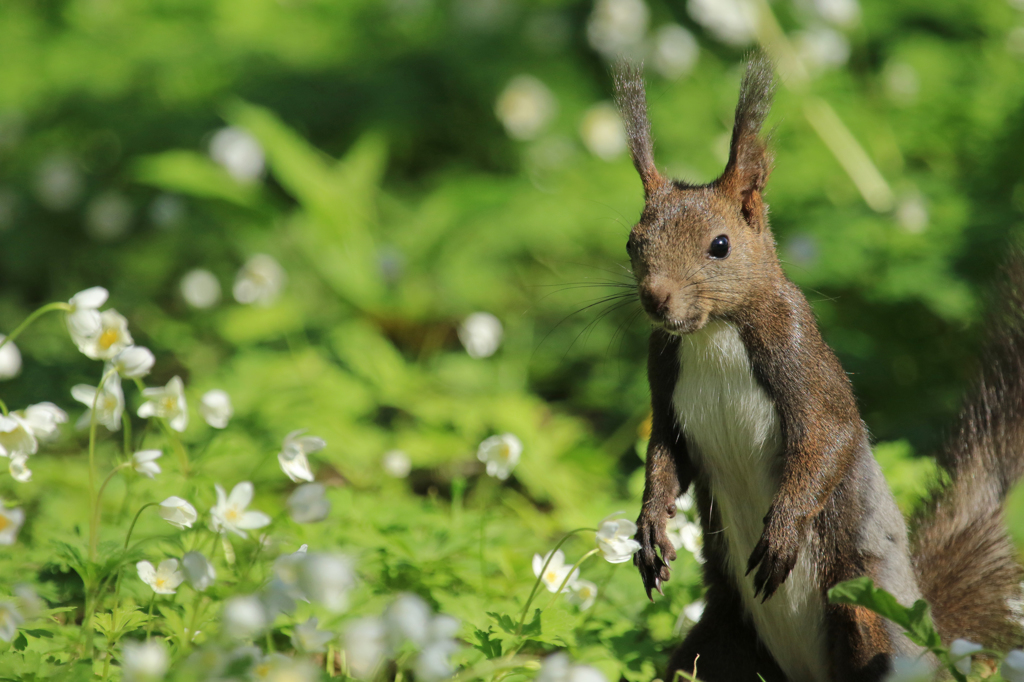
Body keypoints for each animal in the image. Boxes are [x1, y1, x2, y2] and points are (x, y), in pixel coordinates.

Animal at [610, 54, 1024, 679]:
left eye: (720, 245)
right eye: (633, 243)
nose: (657, 299)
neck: (712, 332)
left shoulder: (800, 354)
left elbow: (829, 439)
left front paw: (783, 533)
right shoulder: (663, 371)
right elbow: (664, 454)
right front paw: (651, 528)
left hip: (862, 613)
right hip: (721, 636)